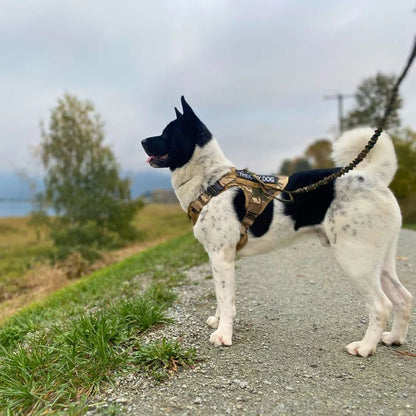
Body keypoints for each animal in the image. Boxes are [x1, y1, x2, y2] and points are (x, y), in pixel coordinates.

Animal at [142, 97, 412, 358]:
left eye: (166, 133)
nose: (142, 140)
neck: (211, 180)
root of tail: (373, 178)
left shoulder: (221, 256)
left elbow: (226, 300)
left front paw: (223, 335)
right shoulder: (218, 258)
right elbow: (221, 297)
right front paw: (219, 322)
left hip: (355, 259)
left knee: (381, 305)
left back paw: (365, 347)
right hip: (380, 260)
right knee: (403, 297)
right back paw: (394, 338)